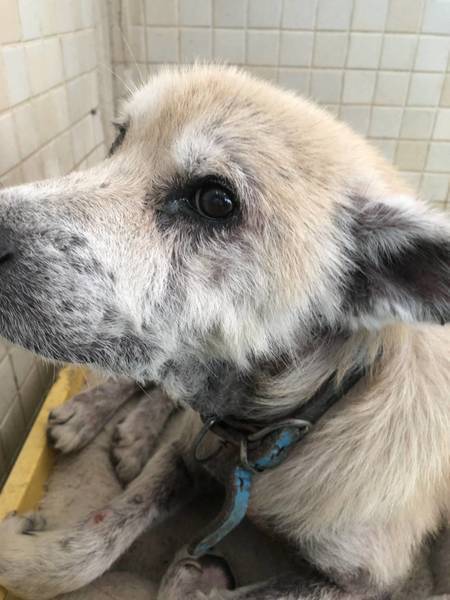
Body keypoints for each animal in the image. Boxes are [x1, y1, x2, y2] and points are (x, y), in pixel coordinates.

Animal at [0, 64, 448, 599]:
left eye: (215, 201)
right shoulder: (186, 453)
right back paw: (95, 417)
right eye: (119, 140)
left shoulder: (368, 580)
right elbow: (91, 543)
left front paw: (195, 579)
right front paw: (22, 555)